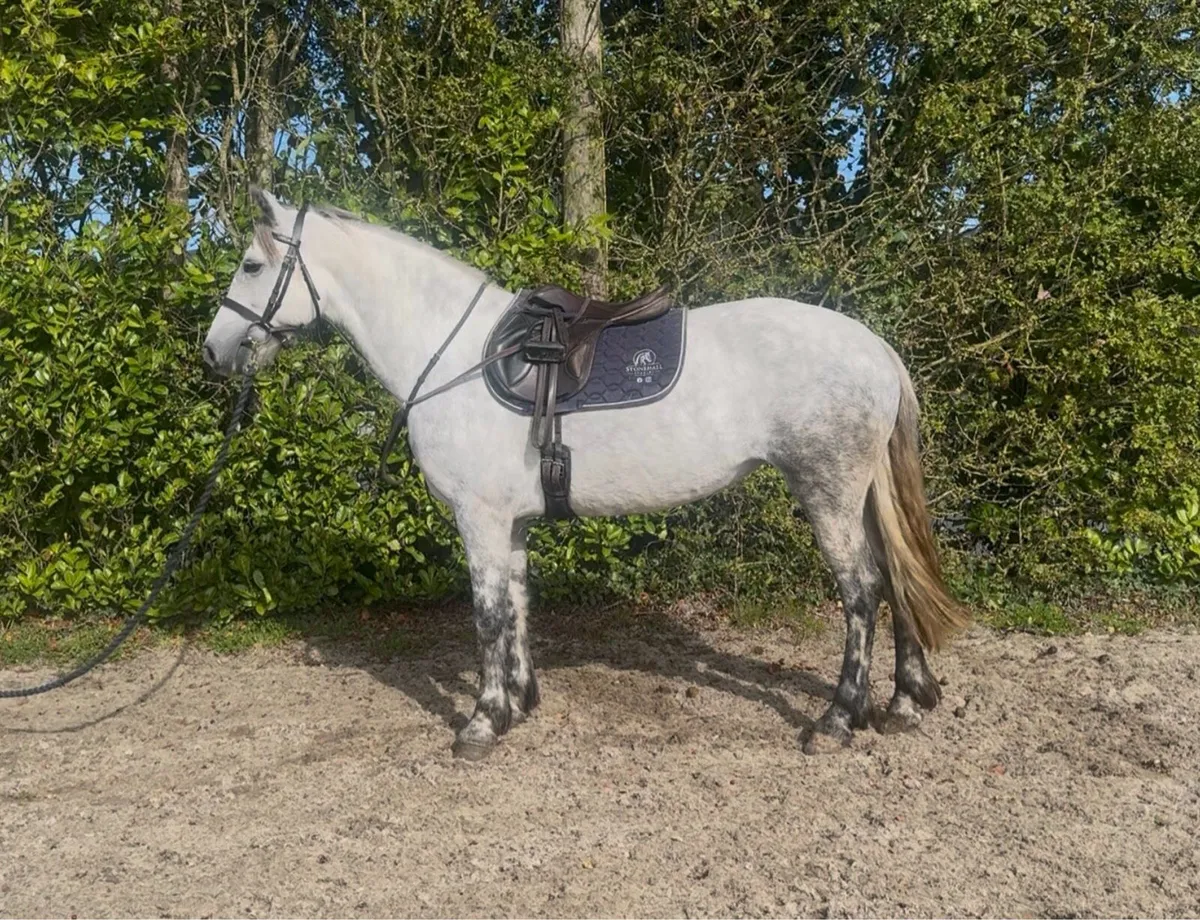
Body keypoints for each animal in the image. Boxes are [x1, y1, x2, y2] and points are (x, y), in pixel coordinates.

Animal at [202, 189, 968, 760]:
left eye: (250, 265)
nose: (213, 351)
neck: (456, 354)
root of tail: (872, 346)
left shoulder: (480, 520)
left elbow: (486, 613)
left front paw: (481, 723)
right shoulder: (508, 523)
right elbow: (516, 605)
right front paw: (519, 703)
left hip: (827, 492)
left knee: (862, 592)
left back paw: (836, 720)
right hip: (860, 495)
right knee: (894, 578)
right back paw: (905, 702)